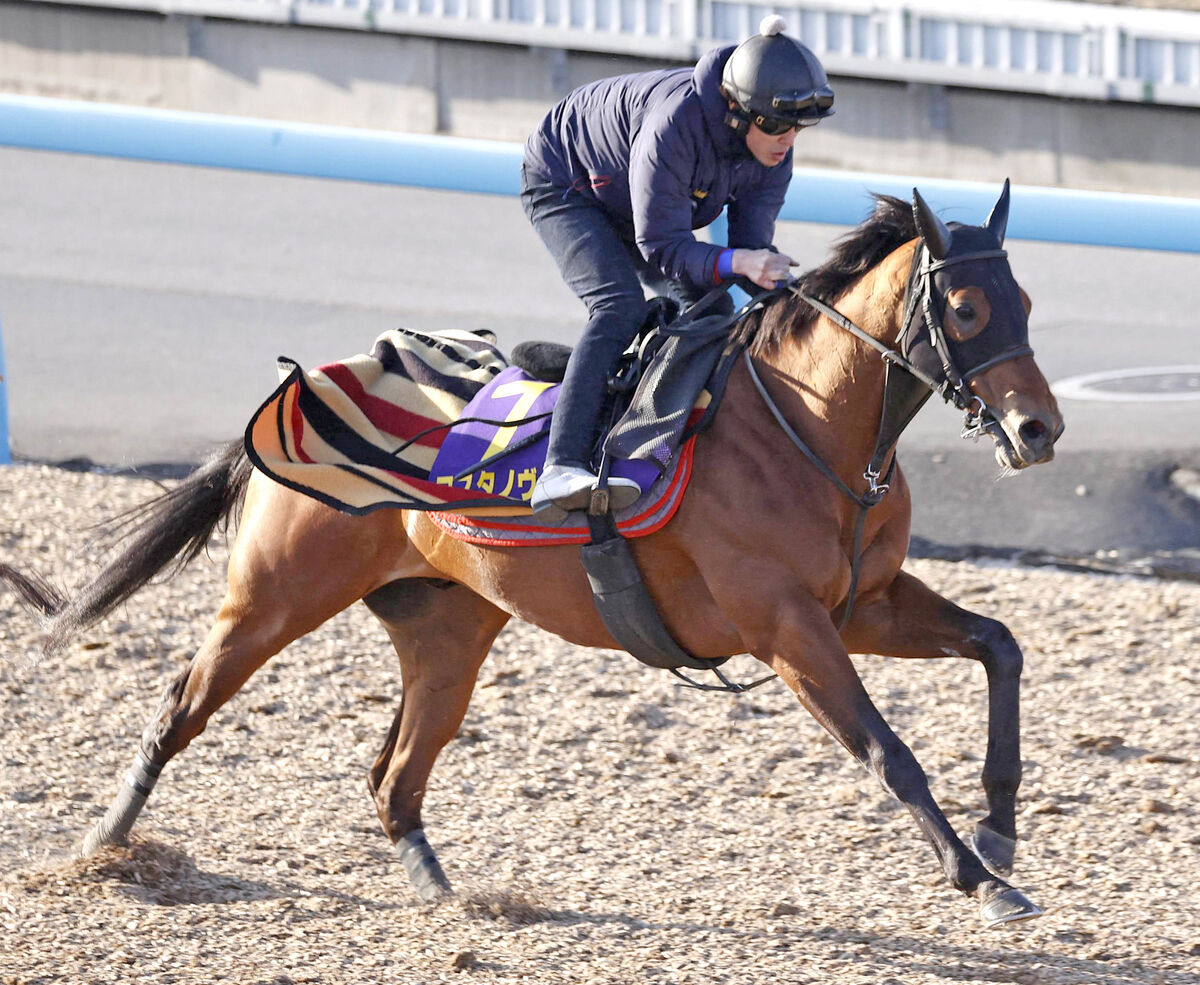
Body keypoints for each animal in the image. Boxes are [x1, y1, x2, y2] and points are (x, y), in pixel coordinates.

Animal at [4, 185, 1065, 931]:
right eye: (964, 309)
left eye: (1023, 297)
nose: (1039, 430)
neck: (806, 425)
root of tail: (308, 384)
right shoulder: (789, 628)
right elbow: (890, 752)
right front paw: (981, 879)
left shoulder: (865, 603)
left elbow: (1001, 644)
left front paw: (1001, 826)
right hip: (271, 597)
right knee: (179, 706)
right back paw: (100, 846)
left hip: (448, 627)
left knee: (394, 775)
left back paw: (443, 894)